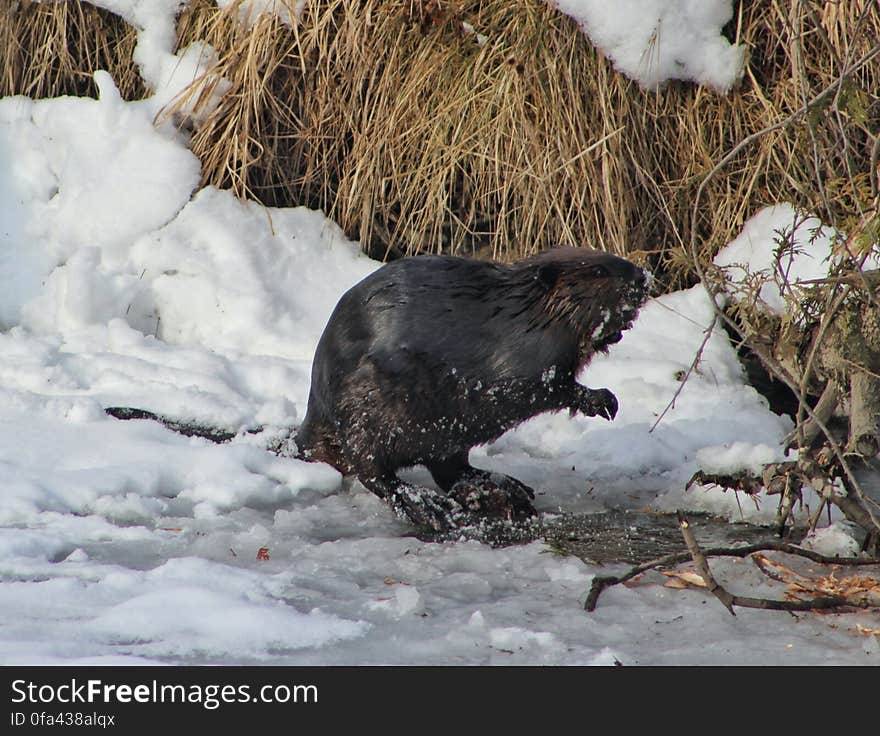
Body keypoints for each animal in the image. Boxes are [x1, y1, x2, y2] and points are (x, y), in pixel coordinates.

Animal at [300, 247, 648, 528]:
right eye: (599, 271)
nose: (642, 276)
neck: (525, 315)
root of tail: (308, 426)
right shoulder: (518, 361)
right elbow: (544, 386)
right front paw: (604, 400)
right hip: (368, 408)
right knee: (373, 471)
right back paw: (428, 508)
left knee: (449, 469)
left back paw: (503, 484)